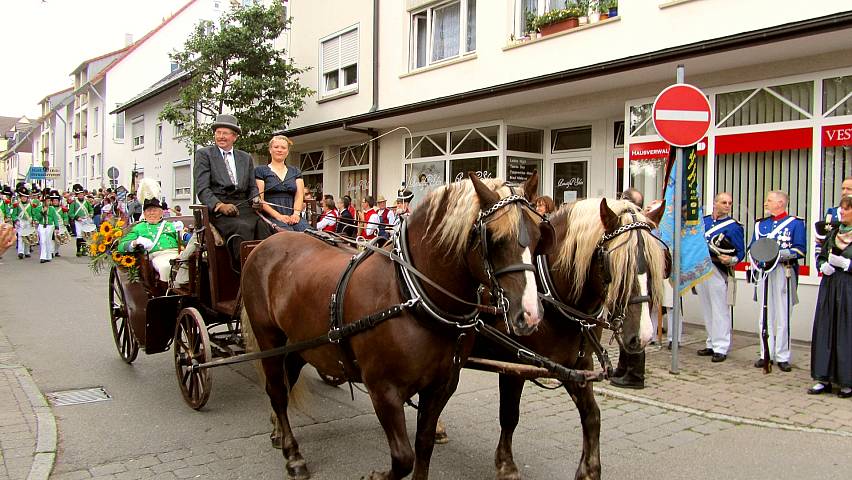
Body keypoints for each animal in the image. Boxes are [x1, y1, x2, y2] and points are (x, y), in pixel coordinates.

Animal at [241, 173, 552, 480]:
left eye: (539, 236)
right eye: (494, 237)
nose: (530, 315)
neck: (409, 295)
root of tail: (267, 244)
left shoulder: (441, 387)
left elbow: (423, 447)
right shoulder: (383, 390)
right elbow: (403, 458)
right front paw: (377, 476)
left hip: (298, 343)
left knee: (286, 381)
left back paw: (279, 433)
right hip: (269, 339)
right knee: (277, 391)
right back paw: (292, 454)